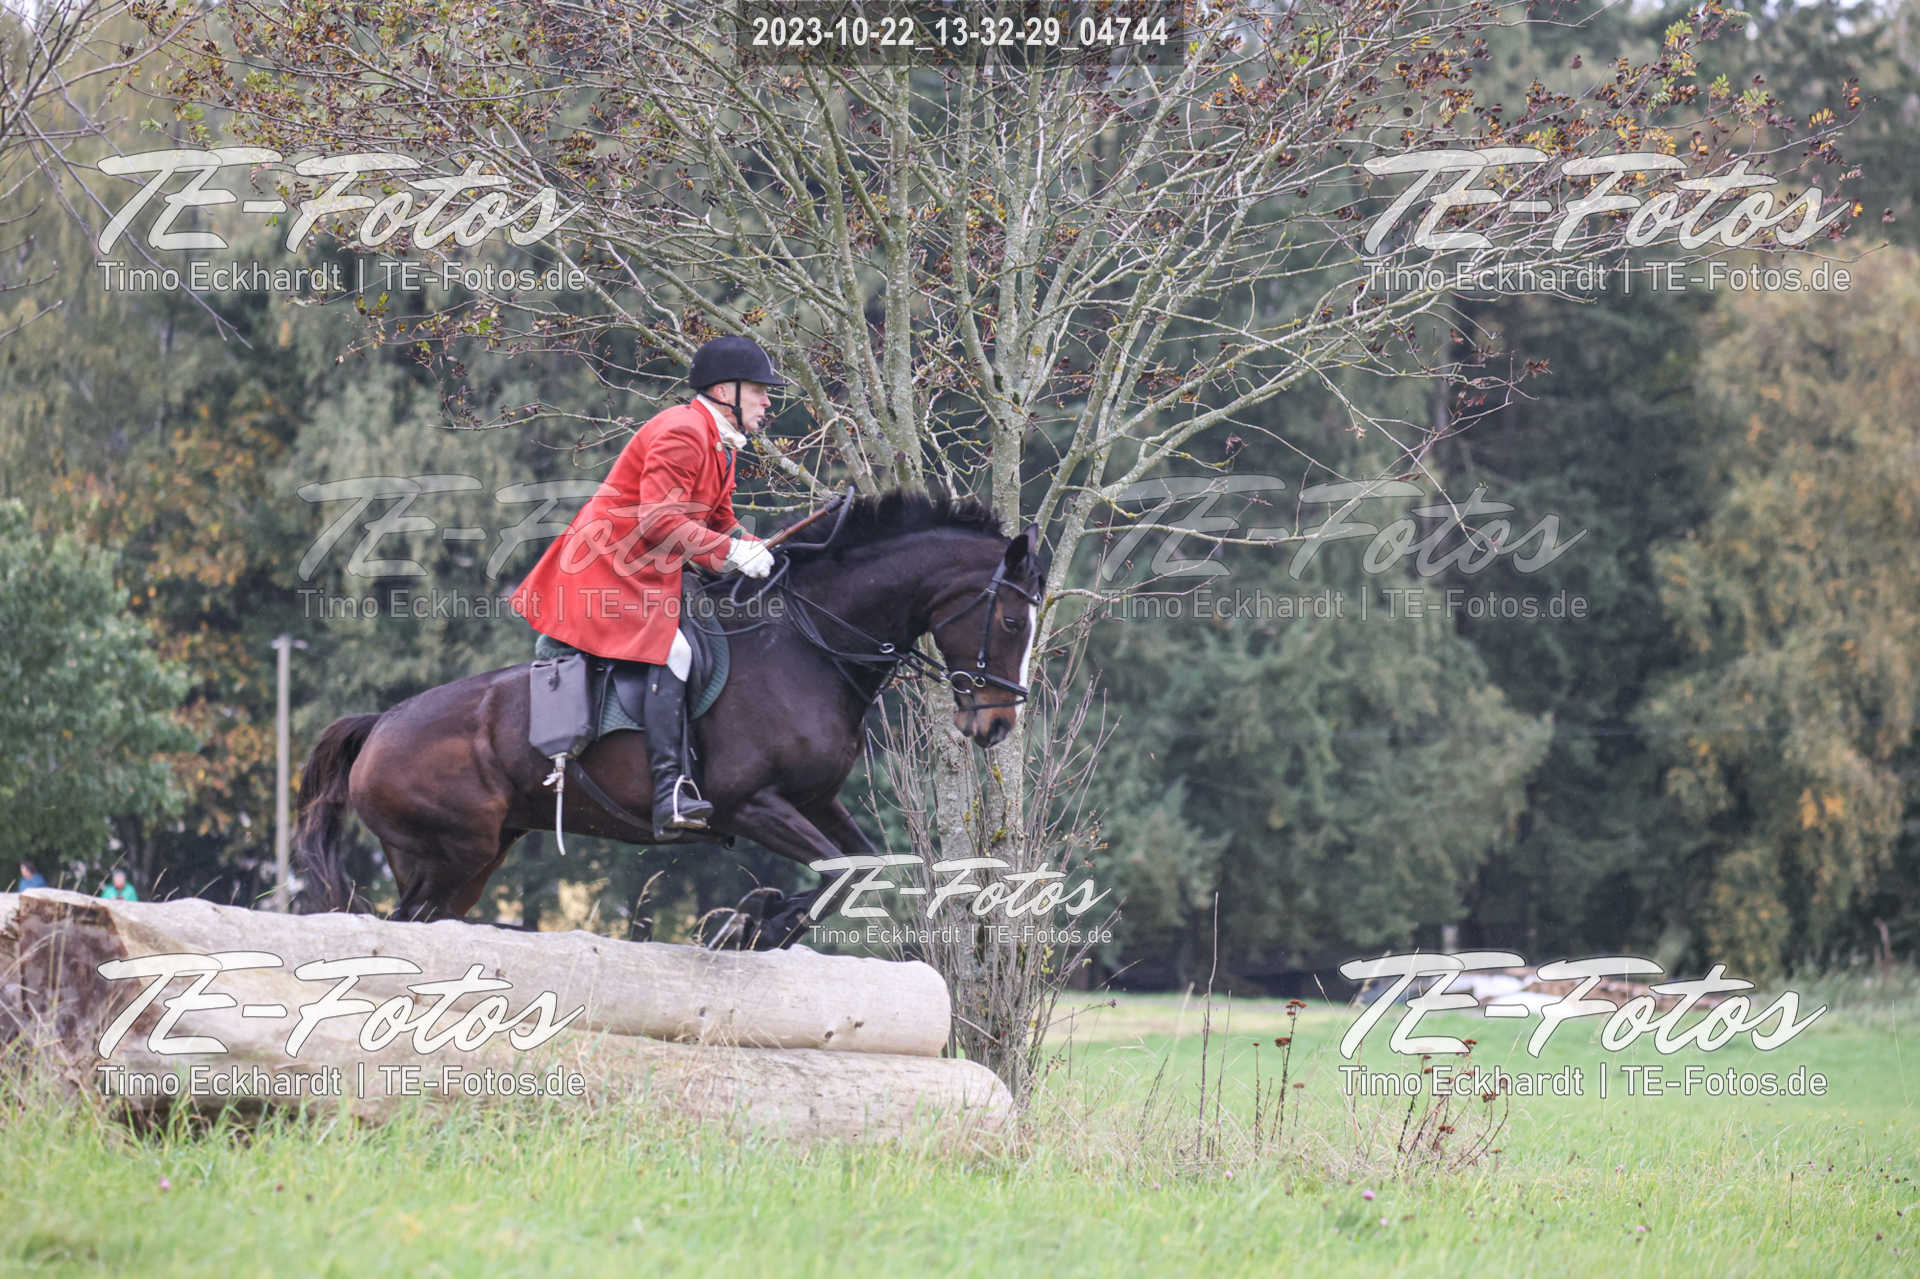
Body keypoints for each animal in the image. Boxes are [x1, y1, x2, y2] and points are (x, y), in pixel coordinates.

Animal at [291, 490, 1045, 949]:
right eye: (1011, 621)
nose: (996, 726)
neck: (807, 645)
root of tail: (380, 726)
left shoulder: (814, 799)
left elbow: (860, 868)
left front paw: (761, 921)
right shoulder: (750, 804)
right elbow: (835, 871)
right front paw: (753, 922)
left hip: (470, 858)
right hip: (452, 854)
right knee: (404, 923)